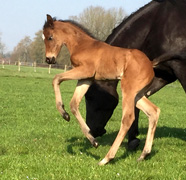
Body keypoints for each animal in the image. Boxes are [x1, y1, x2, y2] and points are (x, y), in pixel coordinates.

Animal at [42, 14, 160, 165]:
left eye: (50, 37)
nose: (49, 59)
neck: (81, 45)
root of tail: (150, 64)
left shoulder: (85, 70)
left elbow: (56, 78)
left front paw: (64, 113)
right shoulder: (86, 78)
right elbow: (74, 104)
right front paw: (92, 140)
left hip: (128, 90)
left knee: (128, 118)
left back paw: (106, 158)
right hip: (137, 94)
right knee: (153, 111)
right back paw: (144, 154)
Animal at [85, 0, 186, 149]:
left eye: (89, 96)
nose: (91, 131)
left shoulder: (180, 66)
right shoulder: (164, 74)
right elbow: (137, 101)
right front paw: (133, 139)